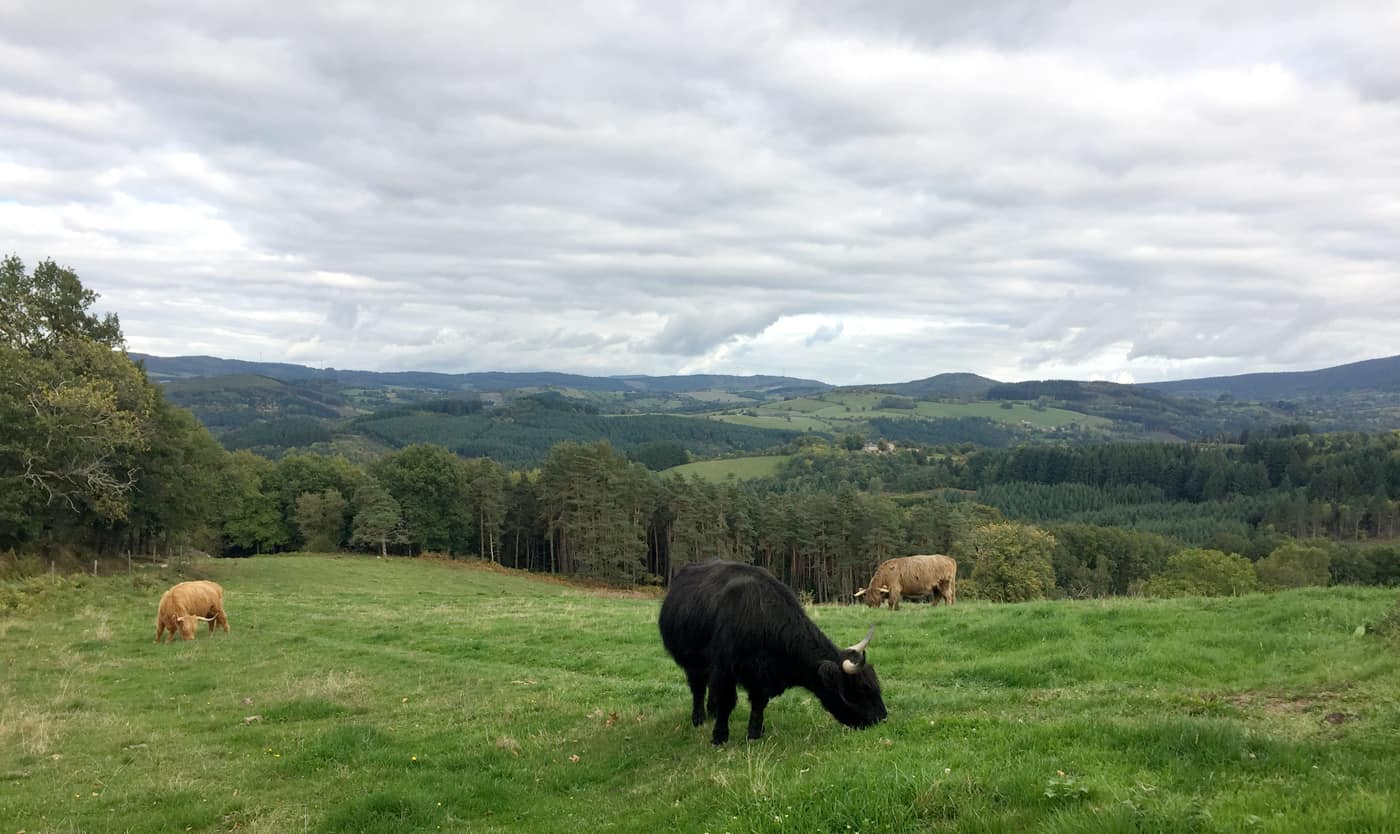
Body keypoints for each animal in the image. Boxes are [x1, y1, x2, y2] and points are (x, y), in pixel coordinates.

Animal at [658, 559, 884, 744]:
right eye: (861, 689)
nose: (882, 717)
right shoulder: (725, 668)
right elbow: (727, 701)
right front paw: (719, 737)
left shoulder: (763, 676)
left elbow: (759, 703)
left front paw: (755, 733)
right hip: (692, 661)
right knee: (698, 688)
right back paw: (699, 718)